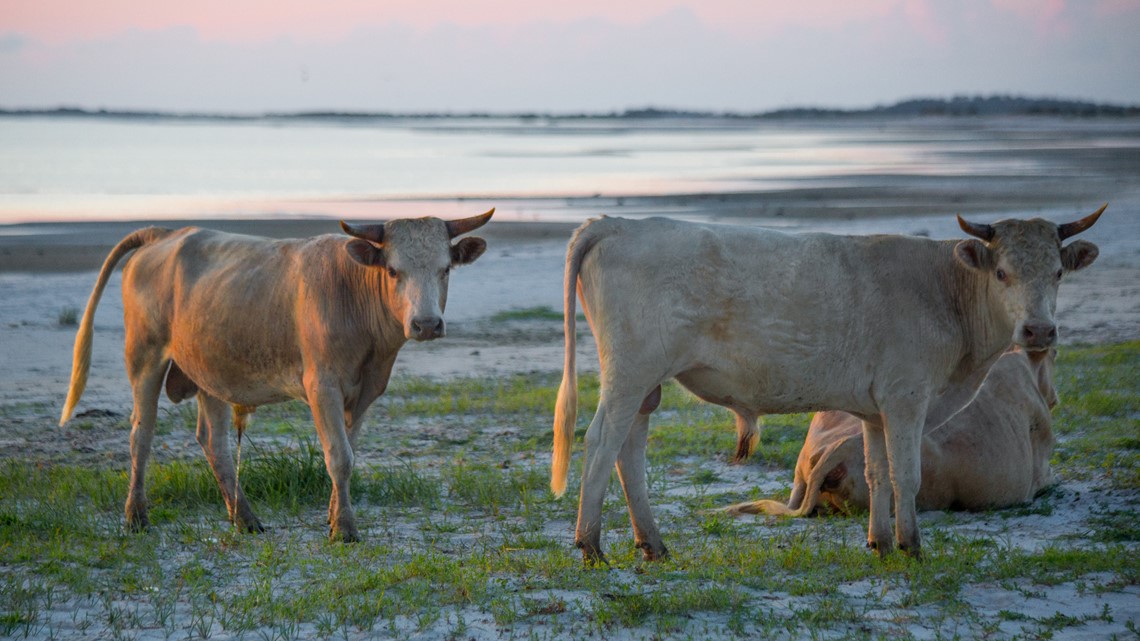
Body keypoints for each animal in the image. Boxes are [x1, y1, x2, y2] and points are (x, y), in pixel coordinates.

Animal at [59, 210, 494, 541]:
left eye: (445, 269)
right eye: (392, 270)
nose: (426, 324)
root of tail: (164, 234)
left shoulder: (365, 391)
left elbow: (349, 451)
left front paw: (334, 516)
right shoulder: (322, 385)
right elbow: (338, 456)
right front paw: (345, 529)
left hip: (210, 367)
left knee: (213, 441)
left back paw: (245, 518)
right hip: (144, 355)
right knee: (141, 434)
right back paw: (136, 517)